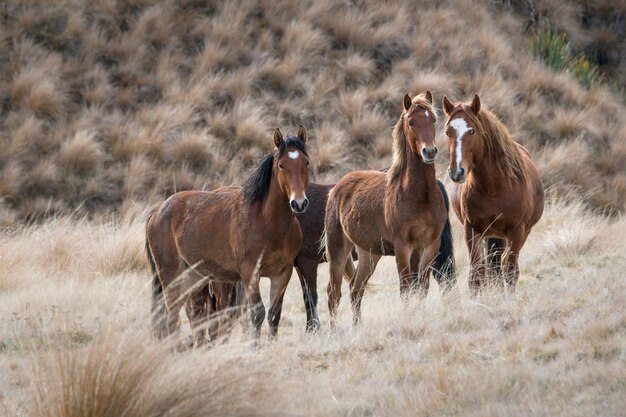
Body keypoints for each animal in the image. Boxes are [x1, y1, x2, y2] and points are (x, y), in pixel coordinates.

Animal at [147, 127, 312, 342]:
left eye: (306, 162)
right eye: (281, 165)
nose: (299, 203)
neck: (267, 222)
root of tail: (158, 210)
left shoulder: (282, 273)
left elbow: (274, 315)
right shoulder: (250, 273)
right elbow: (257, 313)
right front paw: (254, 345)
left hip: (192, 276)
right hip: (169, 274)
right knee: (171, 315)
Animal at [438, 93, 540, 292]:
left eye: (472, 131)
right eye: (448, 132)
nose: (457, 172)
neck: (494, 188)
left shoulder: (517, 231)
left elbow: (510, 271)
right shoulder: (472, 230)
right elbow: (477, 274)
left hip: (520, 233)